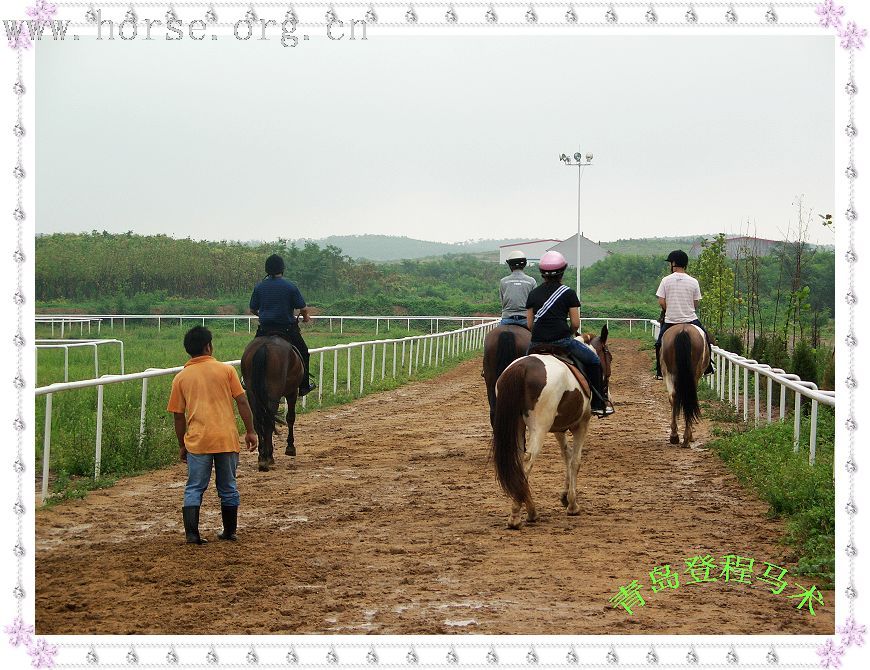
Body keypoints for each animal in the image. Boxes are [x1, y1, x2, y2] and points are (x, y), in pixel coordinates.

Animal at [240, 336, 304, 472]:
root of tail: (264, 346)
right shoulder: (292, 392)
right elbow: (290, 418)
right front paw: (290, 447)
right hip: (274, 391)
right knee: (268, 422)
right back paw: (267, 457)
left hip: (252, 393)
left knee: (258, 421)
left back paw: (262, 457)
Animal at [490, 326, 612, 532]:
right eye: (608, 357)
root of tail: (522, 368)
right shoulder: (582, 424)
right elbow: (575, 460)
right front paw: (573, 504)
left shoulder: (558, 429)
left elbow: (566, 455)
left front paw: (565, 496)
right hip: (539, 427)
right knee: (528, 460)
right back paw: (518, 514)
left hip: (516, 426)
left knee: (518, 461)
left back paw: (530, 509)